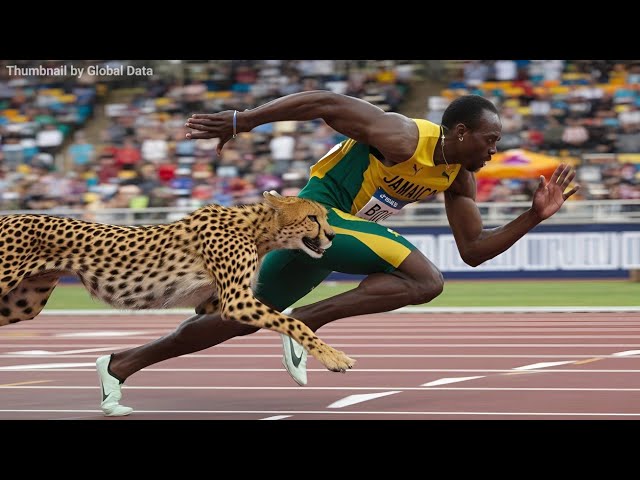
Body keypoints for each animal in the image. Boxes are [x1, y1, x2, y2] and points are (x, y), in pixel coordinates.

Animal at [0, 191, 356, 373]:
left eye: (325, 217)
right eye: (312, 218)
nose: (333, 236)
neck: (258, 229)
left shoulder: (215, 301)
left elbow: (283, 315)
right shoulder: (236, 301)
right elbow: (295, 323)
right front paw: (333, 357)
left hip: (23, 304)